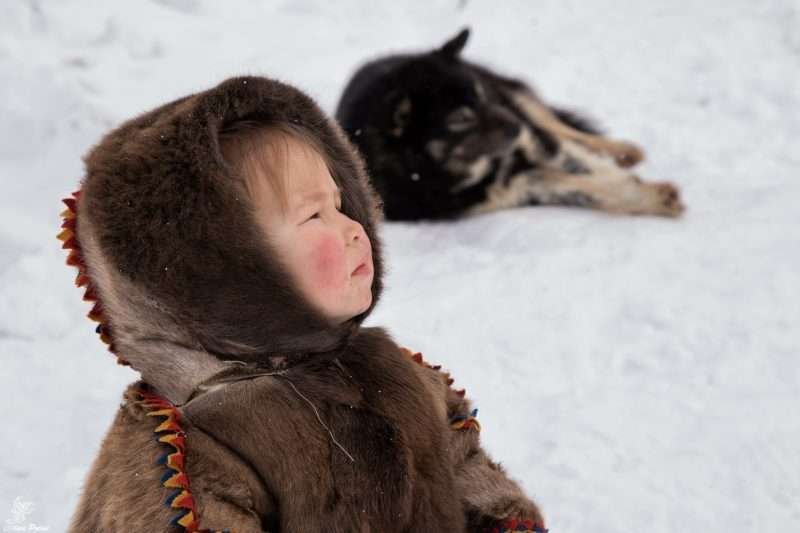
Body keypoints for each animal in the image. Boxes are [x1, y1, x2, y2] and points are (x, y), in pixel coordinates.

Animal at [334, 28, 684, 220]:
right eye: (461, 118)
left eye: (481, 95)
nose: (515, 128)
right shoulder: (521, 187)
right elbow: (587, 189)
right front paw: (647, 196)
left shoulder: (535, 141)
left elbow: (587, 165)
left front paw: (641, 187)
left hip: (521, 103)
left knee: (561, 127)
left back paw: (624, 151)